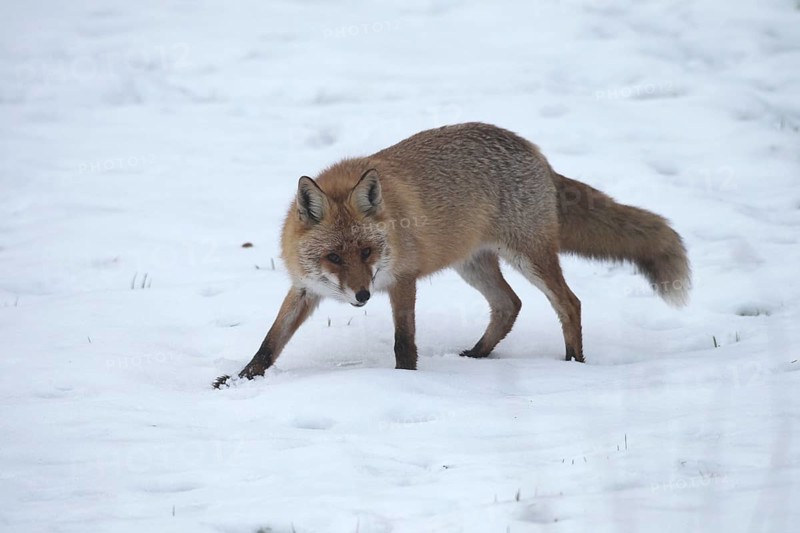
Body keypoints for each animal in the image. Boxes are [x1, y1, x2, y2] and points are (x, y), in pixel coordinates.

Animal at [213, 122, 690, 388]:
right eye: (334, 257)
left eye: (367, 251)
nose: (362, 297)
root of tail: (534, 150)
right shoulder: (305, 288)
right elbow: (270, 343)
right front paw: (238, 381)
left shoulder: (402, 280)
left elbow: (404, 343)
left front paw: (406, 382)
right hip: (473, 264)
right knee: (509, 305)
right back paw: (478, 355)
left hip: (528, 256)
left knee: (568, 303)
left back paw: (574, 363)